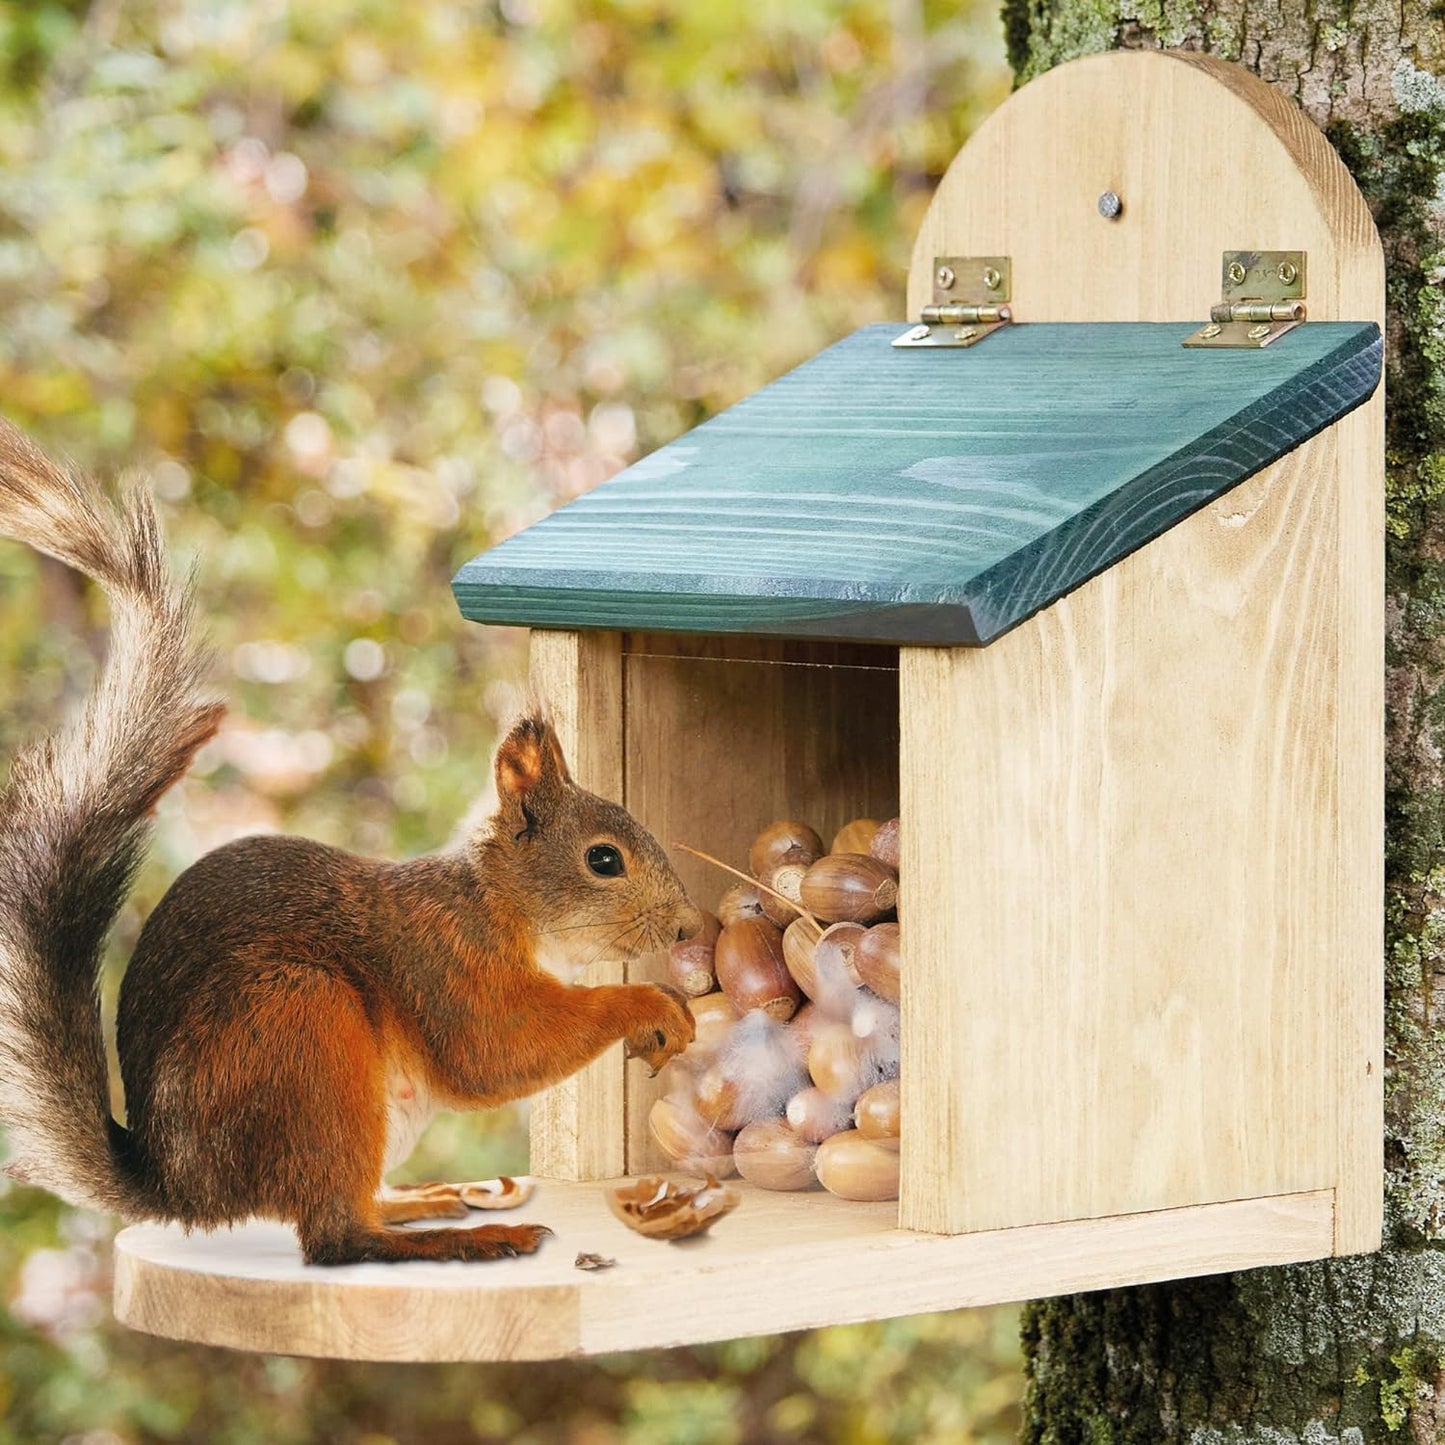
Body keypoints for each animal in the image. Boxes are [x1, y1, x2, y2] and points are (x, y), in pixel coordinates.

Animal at [0, 418, 702, 1265]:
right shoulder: (444, 961)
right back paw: (463, 1236)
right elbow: (495, 1050)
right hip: (302, 1031)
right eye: (603, 859)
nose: (686, 926)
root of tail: (183, 1186)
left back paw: (421, 1201)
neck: (499, 902)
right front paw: (646, 1001)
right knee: (335, 1236)